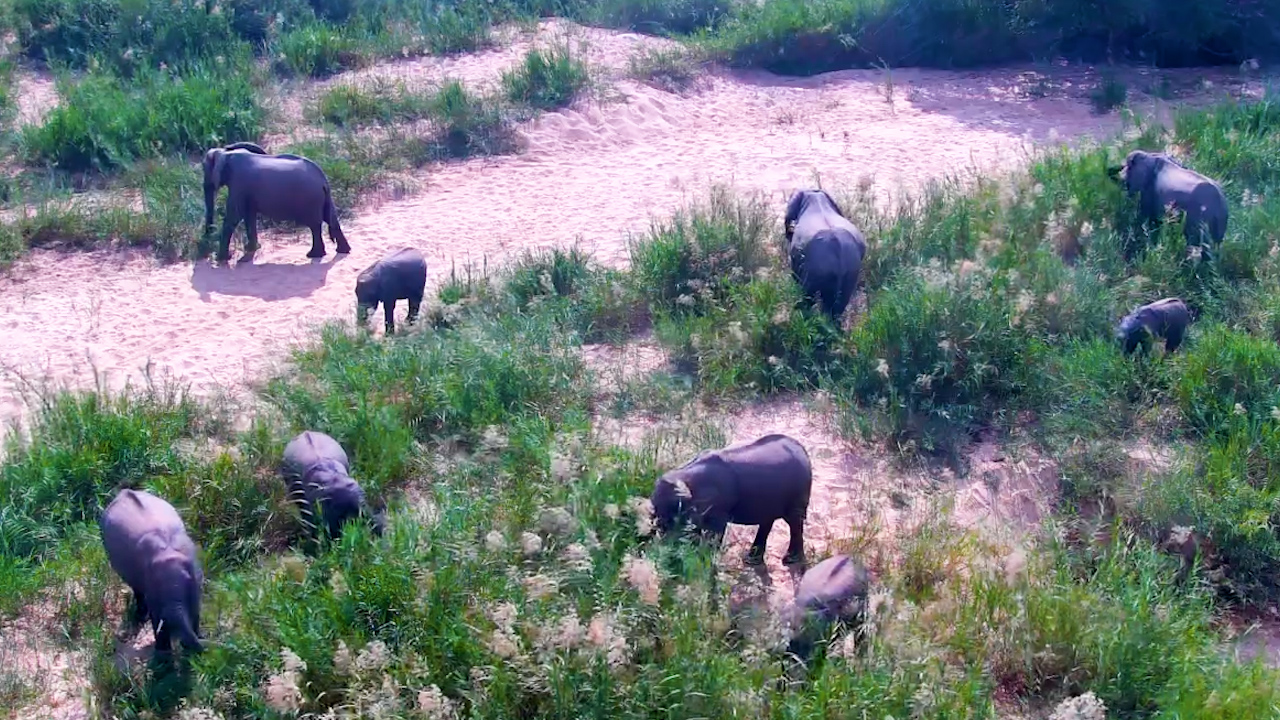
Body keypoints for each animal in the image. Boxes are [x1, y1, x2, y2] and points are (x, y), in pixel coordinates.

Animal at [99, 488, 205, 656]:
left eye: (188, 581)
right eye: (157, 588)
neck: (168, 553)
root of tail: (124, 491)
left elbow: (194, 608)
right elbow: (155, 611)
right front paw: (163, 655)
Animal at [202, 141, 351, 262]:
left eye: (204, 168)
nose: (207, 240)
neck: (226, 153)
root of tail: (323, 181)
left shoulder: (239, 184)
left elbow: (233, 217)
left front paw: (220, 259)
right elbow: (249, 215)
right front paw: (252, 248)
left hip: (311, 199)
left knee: (315, 225)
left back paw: (314, 255)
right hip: (323, 198)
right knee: (330, 218)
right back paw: (342, 250)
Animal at [651, 433, 812, 566]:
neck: (685, 475)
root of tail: (801, 449)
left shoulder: (717, 506)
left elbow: (714, 532)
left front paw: (705, 562)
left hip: (799, 490)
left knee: (794, 521)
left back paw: (791, 560)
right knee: (768, 519)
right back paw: (751, 560)